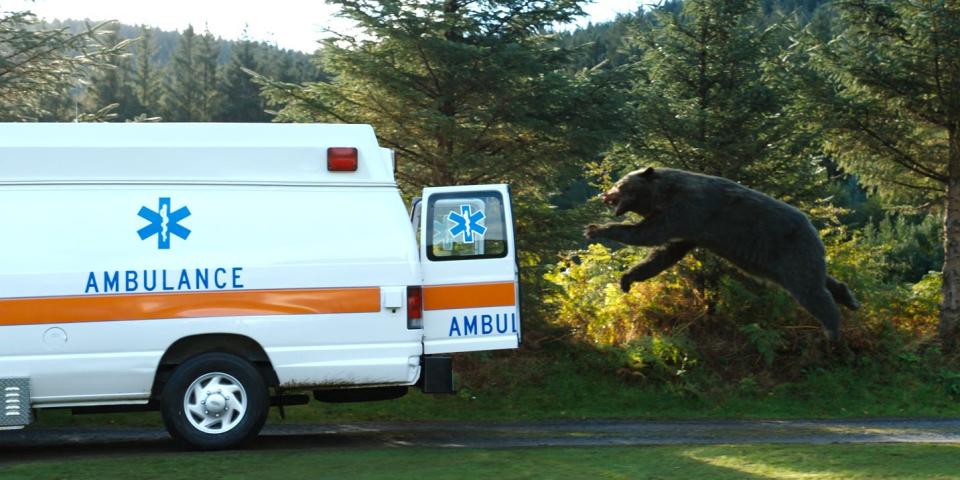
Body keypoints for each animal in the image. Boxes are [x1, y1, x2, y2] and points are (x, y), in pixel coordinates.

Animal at [584, 167, 864, 340]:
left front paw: (595, 228)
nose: (605, 194)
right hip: (787, 262)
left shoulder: (687, 210)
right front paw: (627, 278)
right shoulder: (689, 230)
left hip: (790, 251)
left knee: (811, 292)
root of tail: (814, 228)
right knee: (821, 280)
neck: (663, 195)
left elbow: (648, 234)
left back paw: (833, 330)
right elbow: (664, 254)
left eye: (620, 184)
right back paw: (849, 298)